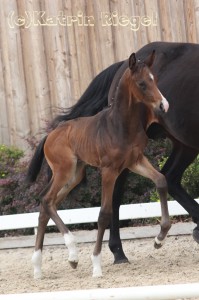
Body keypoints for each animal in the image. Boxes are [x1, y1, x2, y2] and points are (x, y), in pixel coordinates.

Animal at [31, 52, 170, 278]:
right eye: (142, 84)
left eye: (155, 80)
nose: (163, 106)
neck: (121, 125)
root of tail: (50, 136)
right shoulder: (109, 171)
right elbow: (104, 213)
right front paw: (96, 264)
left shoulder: (135, 162)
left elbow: (161, 180)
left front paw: (159, 239)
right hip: (64, 171)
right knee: (47, 199)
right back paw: (72, 253)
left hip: (74, 175)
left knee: (46, 205)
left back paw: (40, 267)